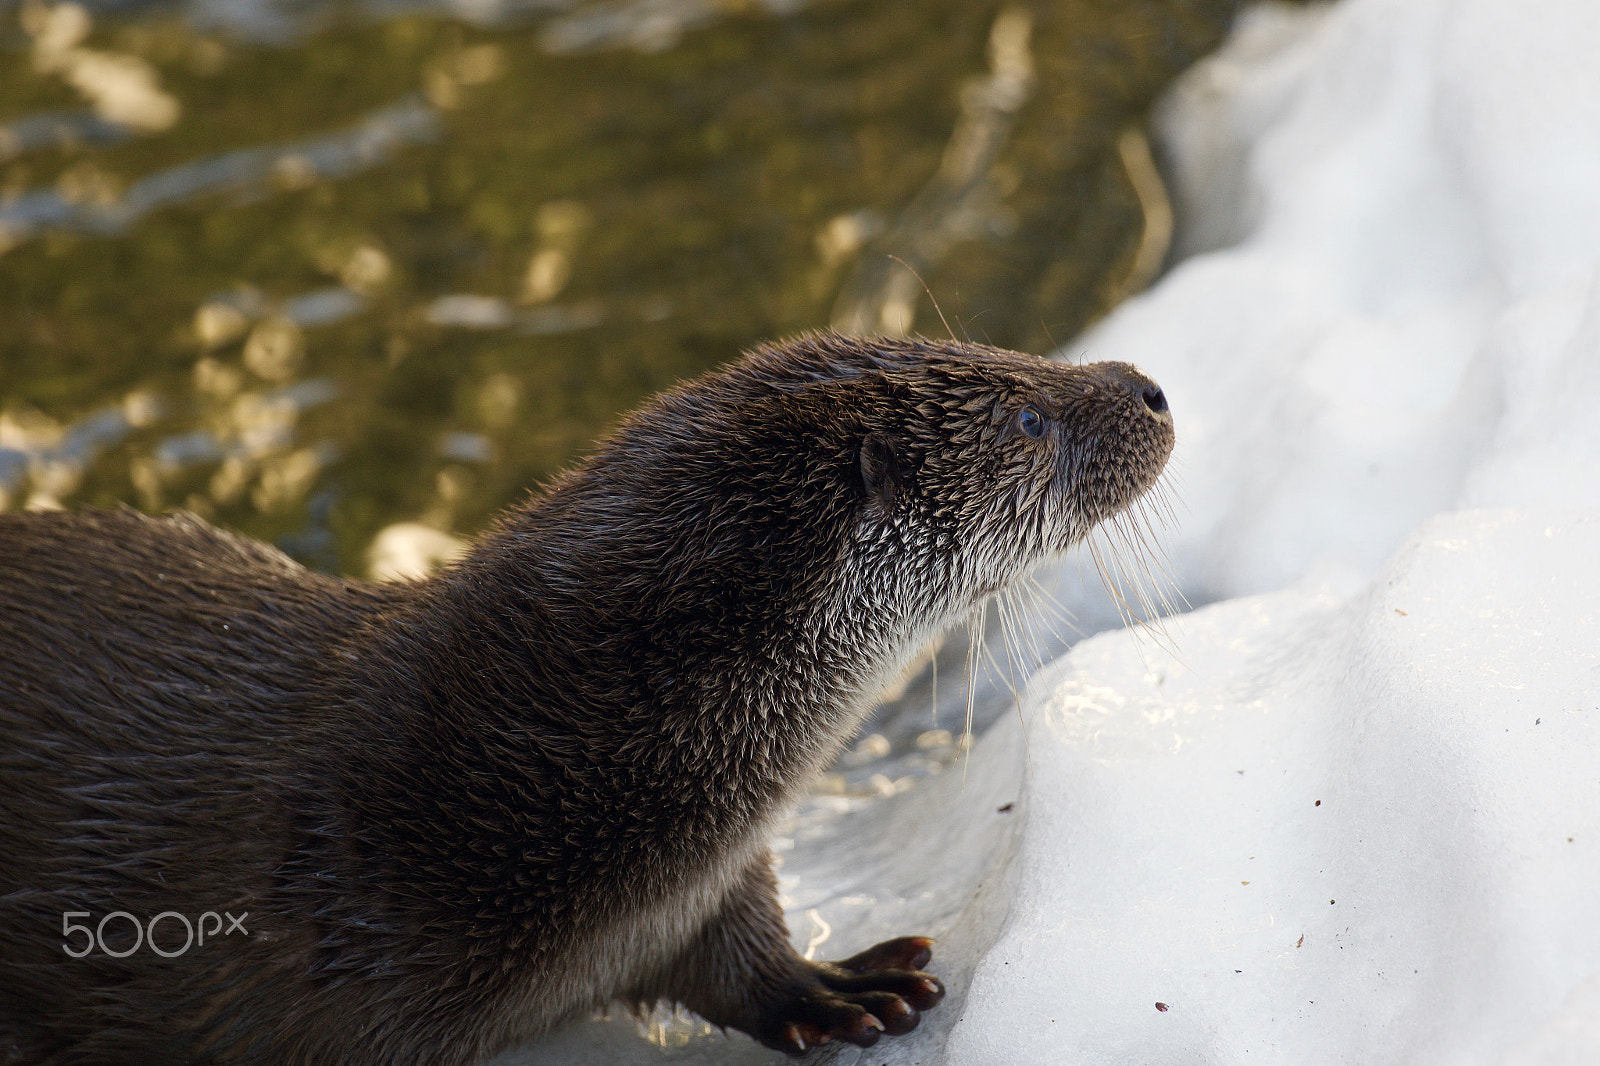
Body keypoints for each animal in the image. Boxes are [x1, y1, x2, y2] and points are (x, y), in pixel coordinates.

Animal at [0, 328, 1177, 1056]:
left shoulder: (694, 882)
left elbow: (737, 950)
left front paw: (838, 989)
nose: (1151, 386)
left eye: (1002, 348)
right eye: (1025, 418)